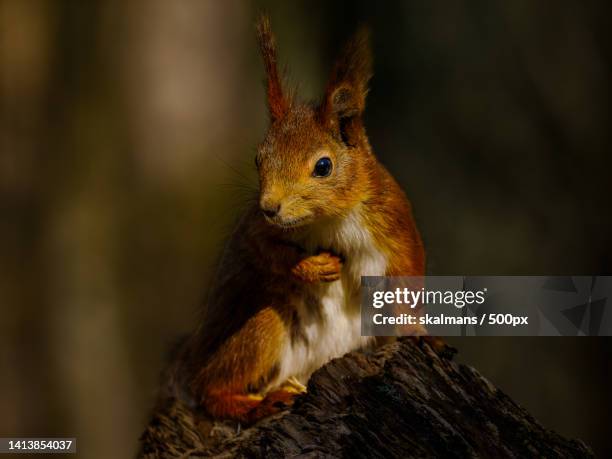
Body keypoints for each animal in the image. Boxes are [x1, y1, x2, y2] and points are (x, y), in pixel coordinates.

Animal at [177, 16, 426, 426]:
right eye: (258, 158)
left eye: (323, 166)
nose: (270, 206)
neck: (331, 219)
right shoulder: (256, 228)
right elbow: (264, 251)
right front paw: (313, 266)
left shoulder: (395, 224)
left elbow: (408, 280)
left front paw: (421, 334)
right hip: (260, 325)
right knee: (213, 392)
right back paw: (259, 402)